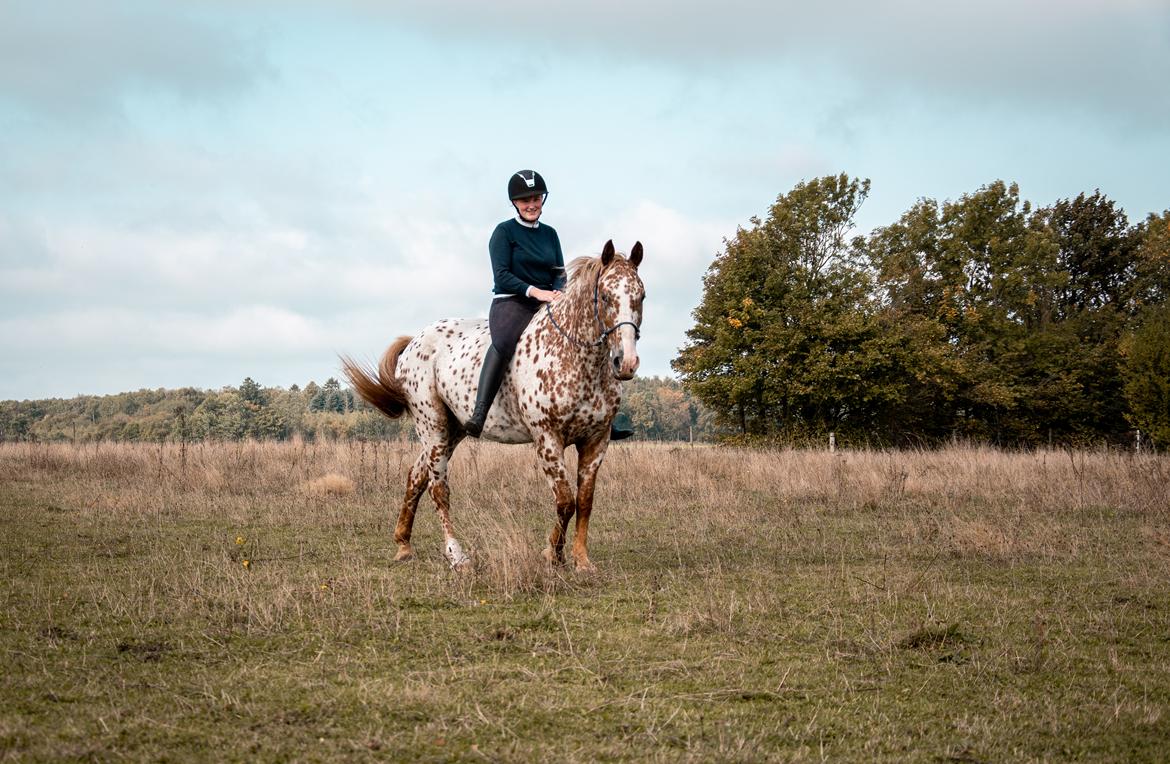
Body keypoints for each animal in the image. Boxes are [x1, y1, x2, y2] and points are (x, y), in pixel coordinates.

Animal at [341, 241, 645, 568]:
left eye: (641, 296)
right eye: (606, 296)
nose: (626, 363)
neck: (578, 359)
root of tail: (415, 341)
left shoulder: (596, 440)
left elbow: (585, 501)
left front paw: (581, 560)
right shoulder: (548, 438)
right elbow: (565, 501)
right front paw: (552, 554)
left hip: (452, 431)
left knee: (417, 476)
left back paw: (404, 545)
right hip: (432, 427)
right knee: (438, 488)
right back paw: (456, 555)